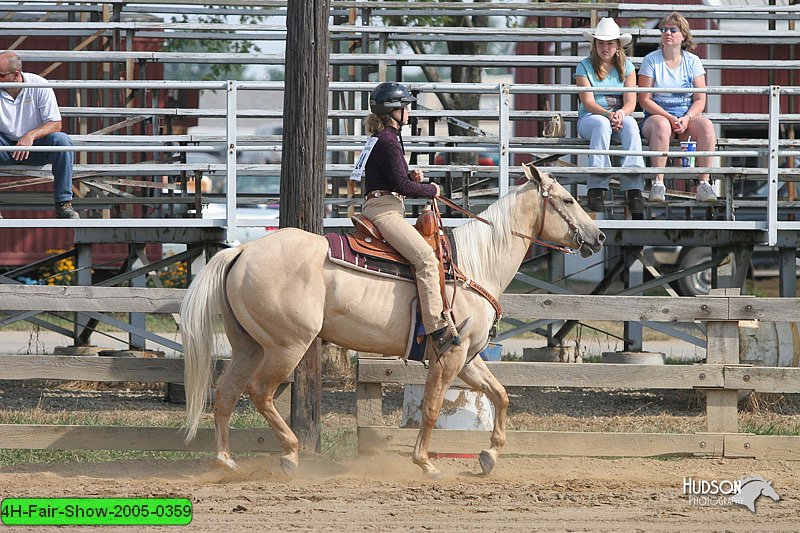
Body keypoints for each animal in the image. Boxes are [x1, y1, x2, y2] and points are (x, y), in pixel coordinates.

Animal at [181, 164, 604, 476]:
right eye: (568, 199)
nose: (598, 236)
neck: (473, 263)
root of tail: (242, 251)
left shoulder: (467, 356)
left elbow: (499, 395)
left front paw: (489, 456)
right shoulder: (450, 356)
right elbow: (432, 407)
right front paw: (425, 462)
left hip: (249, 345)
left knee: (225, 394)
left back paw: (227, 461)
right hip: (287, 345)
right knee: (260, 392)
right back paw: (289, 454)